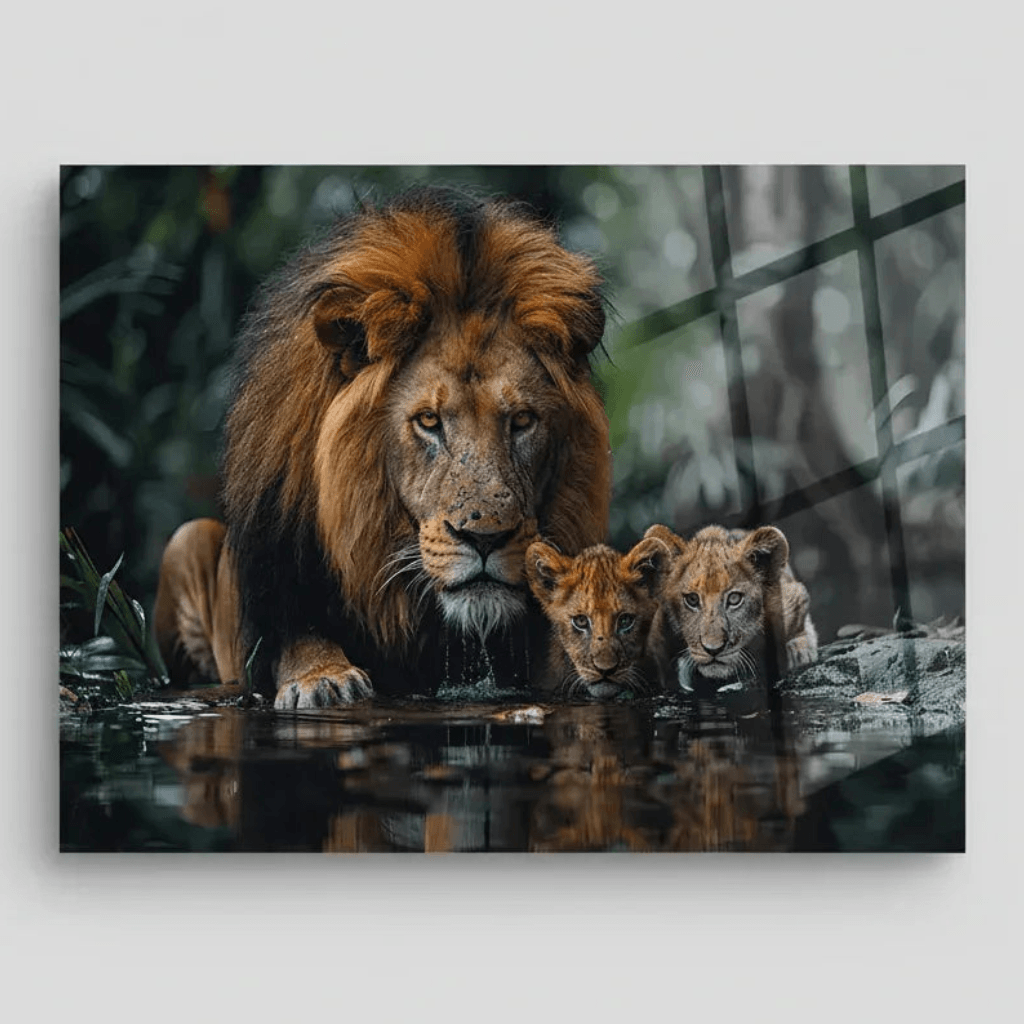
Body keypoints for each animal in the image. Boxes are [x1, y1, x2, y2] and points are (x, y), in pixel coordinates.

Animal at [153, 186, 611, 708]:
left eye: (521, 421)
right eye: (429, 421)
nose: (485, 538)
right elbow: (299, 638)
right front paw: (323, 678)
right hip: (186, 540)